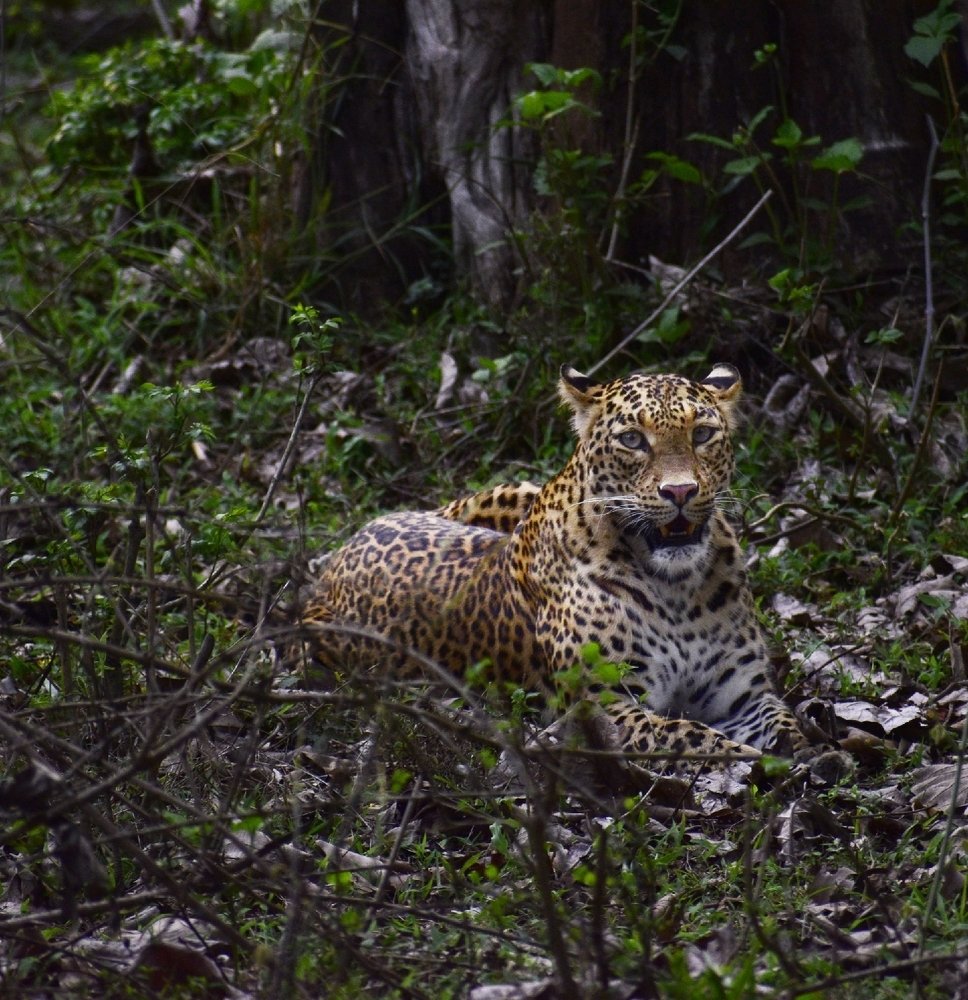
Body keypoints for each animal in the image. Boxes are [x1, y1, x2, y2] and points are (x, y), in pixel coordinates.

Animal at [301, 363, 809, 761]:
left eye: (701, 434)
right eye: (633, 440)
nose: (680, 491)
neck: (677, 586)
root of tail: (335, 561)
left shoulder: (741, 695)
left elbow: (786, 725)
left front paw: (808, 759)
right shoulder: (607, 707)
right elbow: (690, 737)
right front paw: (752, 763)